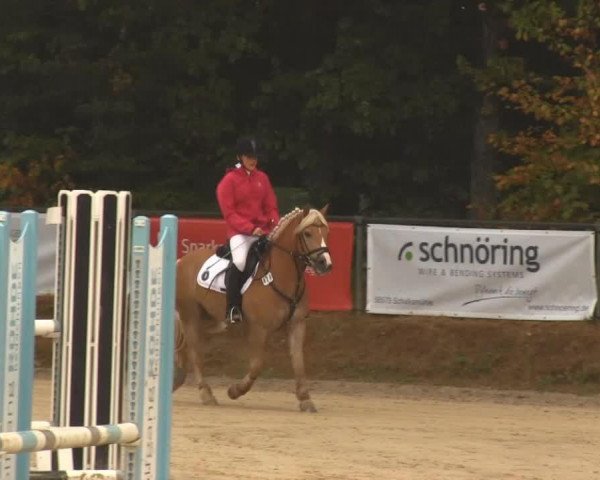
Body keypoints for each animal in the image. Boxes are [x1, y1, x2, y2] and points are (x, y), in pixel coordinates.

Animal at [172, 206, 332, 412]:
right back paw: (206, 393)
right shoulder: (259, 329)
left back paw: (176, 379)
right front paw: (235, 391)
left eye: (326, 232)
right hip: (190, 315)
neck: (280, 273)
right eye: (308, 233)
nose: (325, 263)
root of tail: (182, 261)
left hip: (211, 321)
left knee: (188, 347)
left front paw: (305, 399)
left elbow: (298, 362)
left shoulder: (297, 325)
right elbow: (257, 365)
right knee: (195, 352)